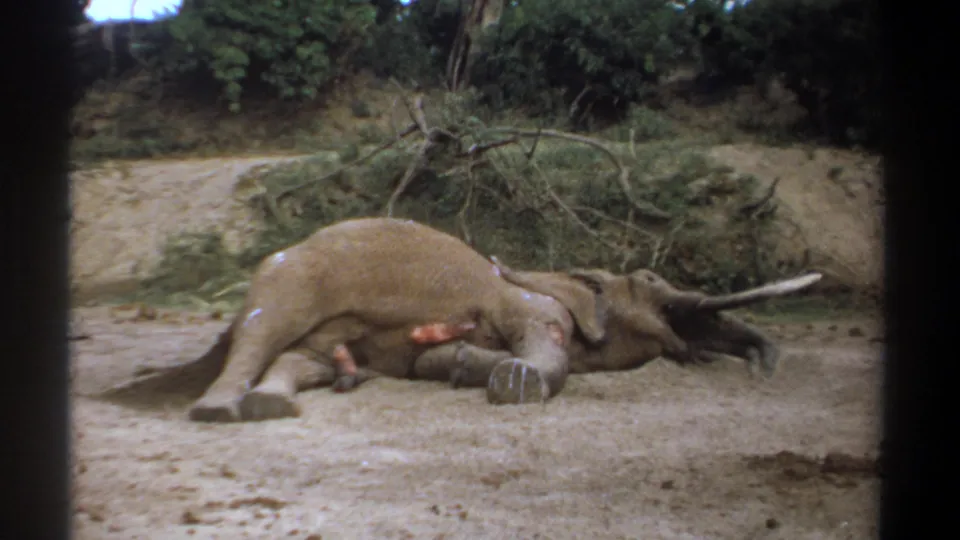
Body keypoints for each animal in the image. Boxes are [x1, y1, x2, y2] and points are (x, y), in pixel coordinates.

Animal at [174, 217, 821, 423]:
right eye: (652, 281)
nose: (761, 373)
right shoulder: (533, 303)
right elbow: (543, 344)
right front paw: (515, 383)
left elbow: (432, 360)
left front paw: (460, 363)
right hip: (294, 277)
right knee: (262, 332)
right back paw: (218, 409)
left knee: (303, 357)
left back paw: (277, 402)